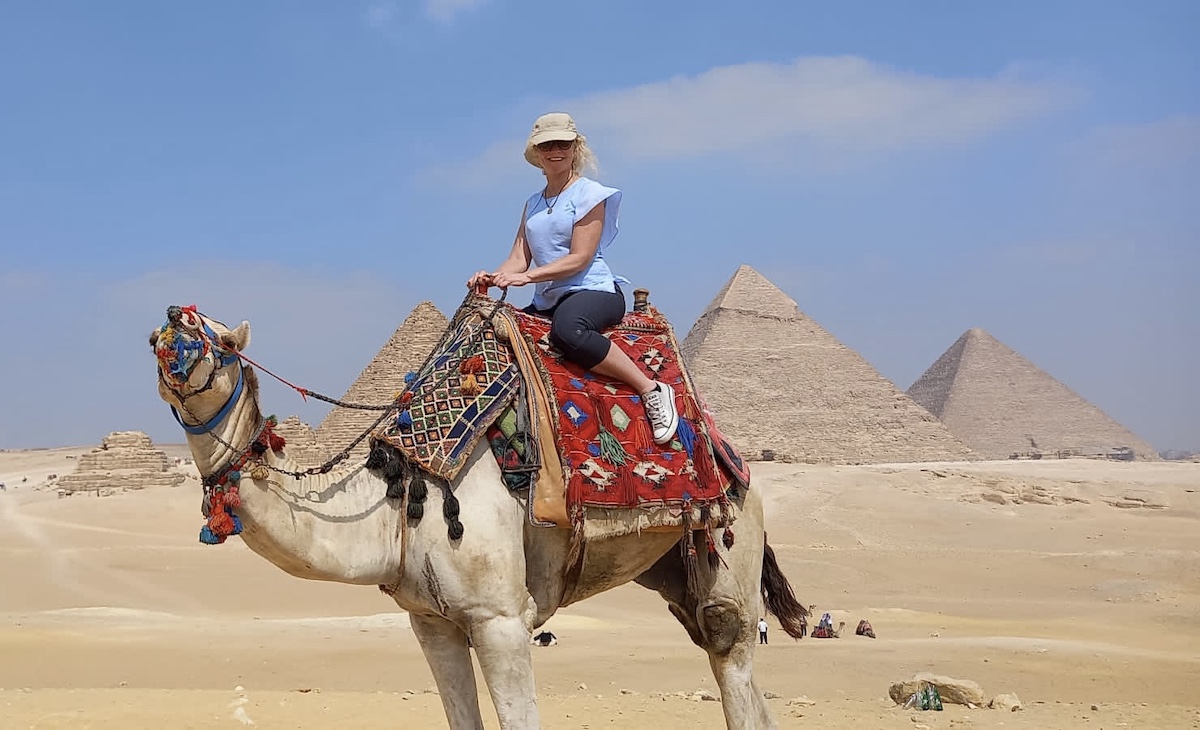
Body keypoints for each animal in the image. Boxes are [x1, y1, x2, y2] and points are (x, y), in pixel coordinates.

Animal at [147, 304, 806, 725]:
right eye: (170, 327)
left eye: (223, 341)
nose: (172, 319)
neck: (395, 507)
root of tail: (730, 456)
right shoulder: (431, 623)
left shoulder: (501, 618)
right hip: (670, 564)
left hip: (732, 539)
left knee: (727, 645)